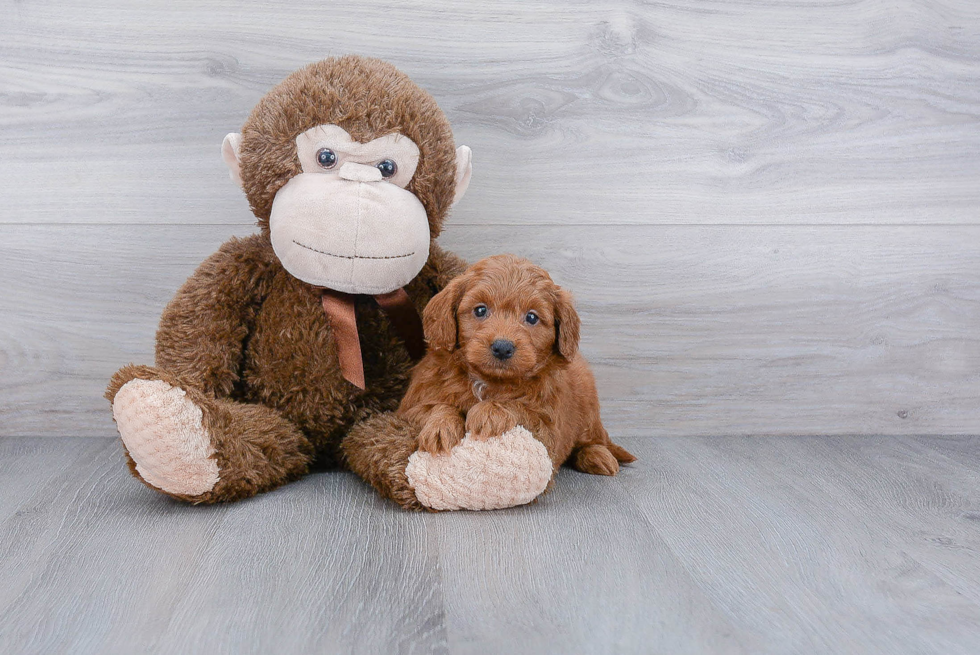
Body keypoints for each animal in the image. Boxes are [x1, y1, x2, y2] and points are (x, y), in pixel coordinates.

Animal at [396, 255, 636, 476]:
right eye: (480, 310)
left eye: (531, 317)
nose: (502, 347)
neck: (489, 381)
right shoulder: (409, 408)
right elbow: (435, 406)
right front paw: (440, 427)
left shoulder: (549, 427)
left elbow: (519, 407)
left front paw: (489, 411)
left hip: (589, 412)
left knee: (592, 440)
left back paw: (598, 455)